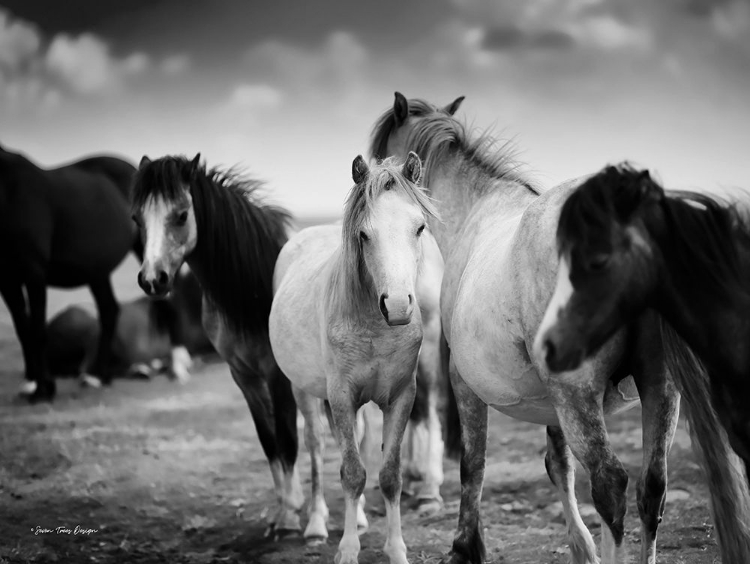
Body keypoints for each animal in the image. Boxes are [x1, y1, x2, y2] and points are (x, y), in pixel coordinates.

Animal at [0, 145, 141, 400]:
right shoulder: (7, 278)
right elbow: (23, 329)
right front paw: (30, 382)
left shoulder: (34, 273)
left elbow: (37, 331)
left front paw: (44, 388)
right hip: (97, 272)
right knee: (109, 310)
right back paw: (98, 376)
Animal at [131, 154, 302, 536]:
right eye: (136, 218)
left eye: (182, 215)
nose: (152, 280)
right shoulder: (244, 377)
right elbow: (270, 442)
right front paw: (283, 511)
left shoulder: (277, 376)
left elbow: (287, 441)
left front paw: (290, 518)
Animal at [270, 154, 438, 564]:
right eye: (364, 234)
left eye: (419, 227)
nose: (397, 306)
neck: (376, 328)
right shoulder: (342, 397)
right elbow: (351, 473)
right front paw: (347, 550)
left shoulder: (400, 397)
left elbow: (388, 475)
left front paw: (396, 549)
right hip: (304, 391)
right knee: (316, 448)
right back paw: (316, 524)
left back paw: (359, 518)